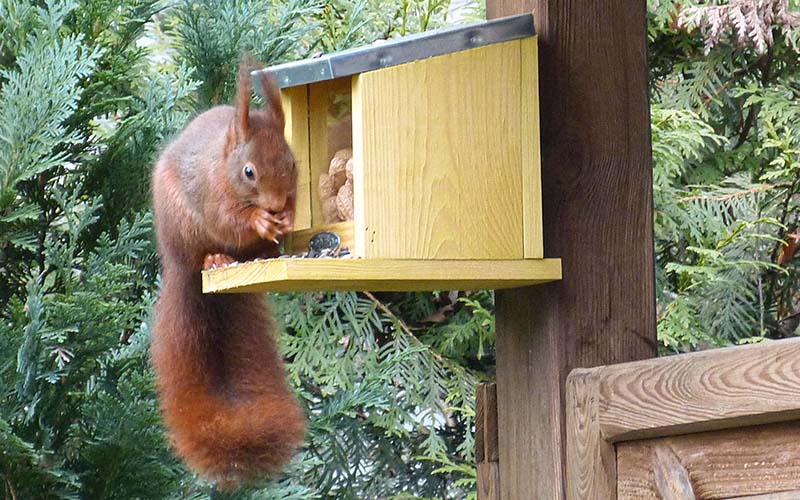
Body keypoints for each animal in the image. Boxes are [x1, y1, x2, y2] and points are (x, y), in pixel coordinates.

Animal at [150, 63, 304, 487]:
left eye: (293, 163)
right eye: (249, 171)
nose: (275, 204)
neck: (223, 164)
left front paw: (286, 217)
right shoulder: (211, 193)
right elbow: (228, 220)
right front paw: (259, 220)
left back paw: (267, 250)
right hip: (184, 230)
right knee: (204, 253)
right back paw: (215, 259)